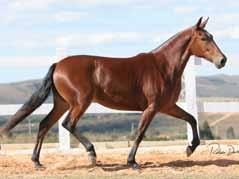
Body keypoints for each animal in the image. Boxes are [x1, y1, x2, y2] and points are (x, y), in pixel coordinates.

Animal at [0, 17, 227, 170]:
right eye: (204, 38)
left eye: (212, 37)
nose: (222, 60)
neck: (163, 66)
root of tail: (58, 65)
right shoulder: (152, 107)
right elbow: (140, 133)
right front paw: (132, 162)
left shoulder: (167, 106)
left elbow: (191, 119)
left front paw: (190, 148)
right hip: (80, 102)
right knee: (68, 124)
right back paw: (92, 154)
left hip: (62, 103)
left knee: (44, 124)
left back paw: (37, 162)